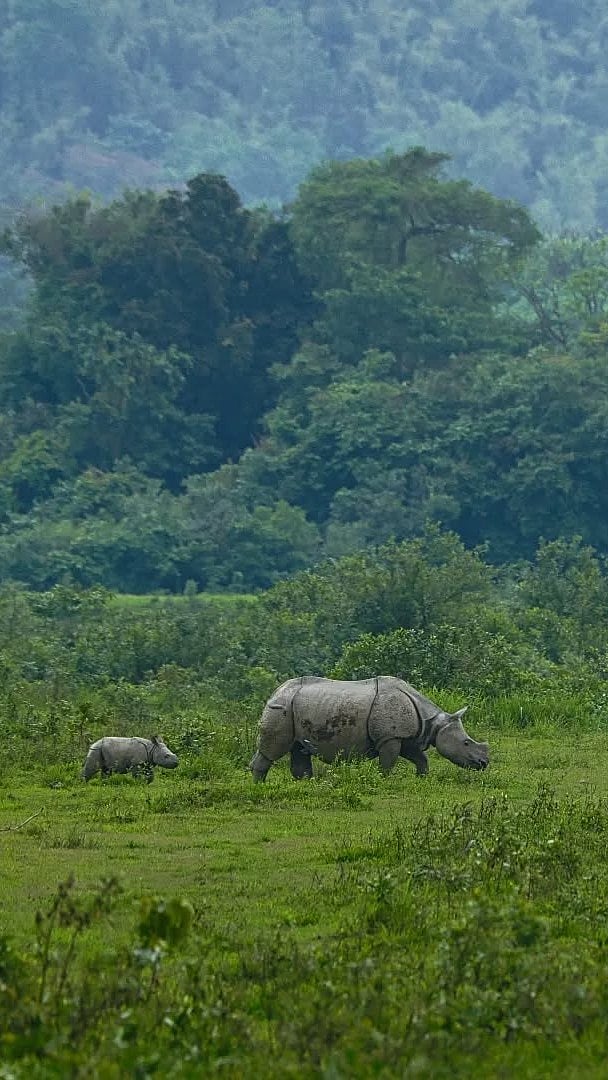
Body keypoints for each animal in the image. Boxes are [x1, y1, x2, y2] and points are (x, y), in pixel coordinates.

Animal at [249, 676, 489, 781]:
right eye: (466, 743)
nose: (484, 763)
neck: (433, 721)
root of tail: (274, 692)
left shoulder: (404, 736)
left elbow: (421, 758)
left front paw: (422, 779)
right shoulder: (390, 737)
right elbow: (388, 763)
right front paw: (383, 781)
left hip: (296, 708)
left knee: (299, 749)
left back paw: (306, 784)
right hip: (281, 708)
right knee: (272, 751)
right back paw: (260, 787)